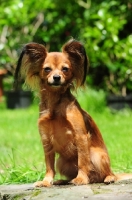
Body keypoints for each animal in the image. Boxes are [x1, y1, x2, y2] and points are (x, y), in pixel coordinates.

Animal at [14, 39, 132, 188]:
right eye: (47, 69)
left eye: (65, 69)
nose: (57, 77)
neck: (55, 103)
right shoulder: (46, 141)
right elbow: (49, 165)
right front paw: (46, 181)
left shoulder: (80, 136)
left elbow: (82, 161)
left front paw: (81, 179)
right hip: (61, 161)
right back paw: (63, 181)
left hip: (97, 155)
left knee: (106, 173)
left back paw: (108, 178)